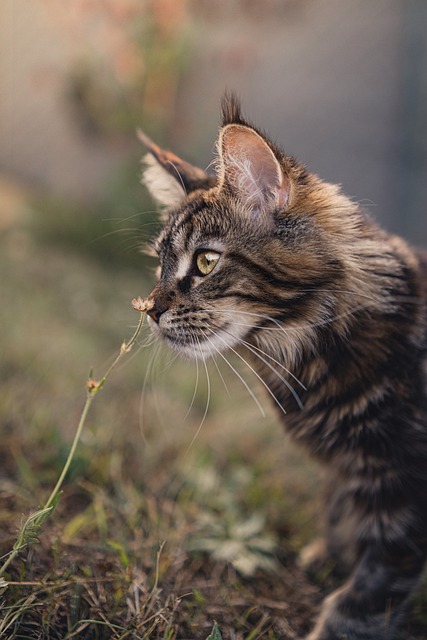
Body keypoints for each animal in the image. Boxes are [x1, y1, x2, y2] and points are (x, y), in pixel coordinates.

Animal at [139, 96, 426, 640]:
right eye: (159, 267)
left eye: (205, 263)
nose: (149, 310)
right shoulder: (351, 477)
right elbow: (339, 516)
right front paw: (329, 554)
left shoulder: (402, 490)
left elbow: (365, 595)